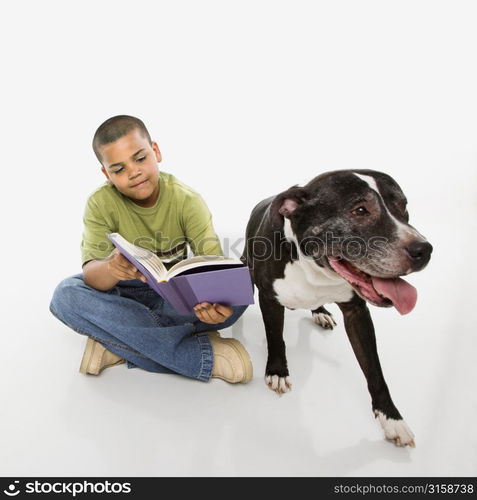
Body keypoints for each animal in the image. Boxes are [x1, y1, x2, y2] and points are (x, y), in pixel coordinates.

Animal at [242, 170, 432, 448]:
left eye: (403, 206)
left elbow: (374, 369)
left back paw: (320, 311)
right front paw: (277, 371)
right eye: (360, 210)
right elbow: (276, 338)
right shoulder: (270, 299)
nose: (424, 250)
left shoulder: (357, 313)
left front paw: (392, 418)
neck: (315, 268)